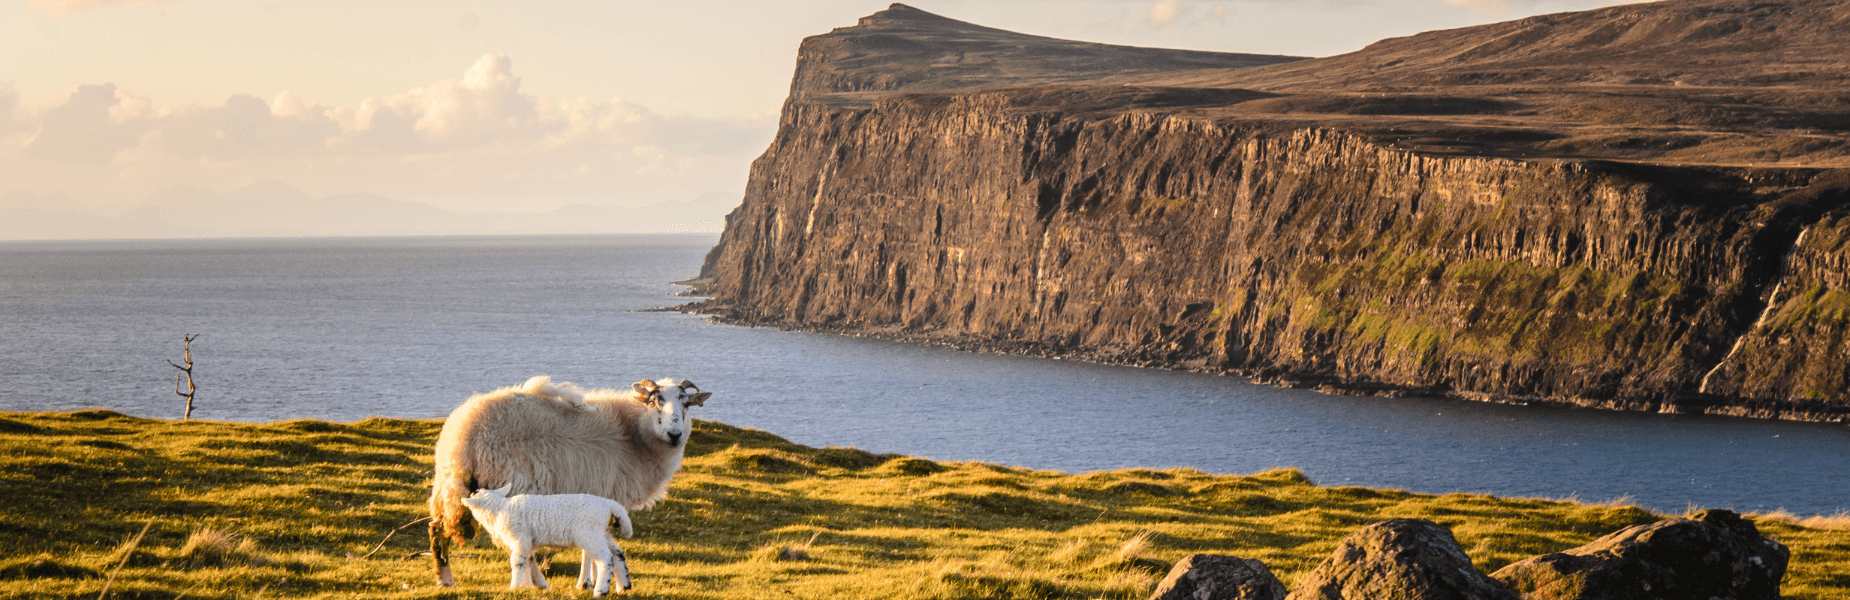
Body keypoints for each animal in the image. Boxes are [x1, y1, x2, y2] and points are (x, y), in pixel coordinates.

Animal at [460, 488, 636, 596]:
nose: (473, 490)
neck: (500, 509)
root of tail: (610, 505)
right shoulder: (528, 542)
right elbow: (528, 561)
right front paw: (532, 585)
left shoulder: (520, 538)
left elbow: (517, 561)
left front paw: (514, 587)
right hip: (602, 533)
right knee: (618, 553)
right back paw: (624, 586)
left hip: (589, 534)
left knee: (606, 558)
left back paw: (601, 591)